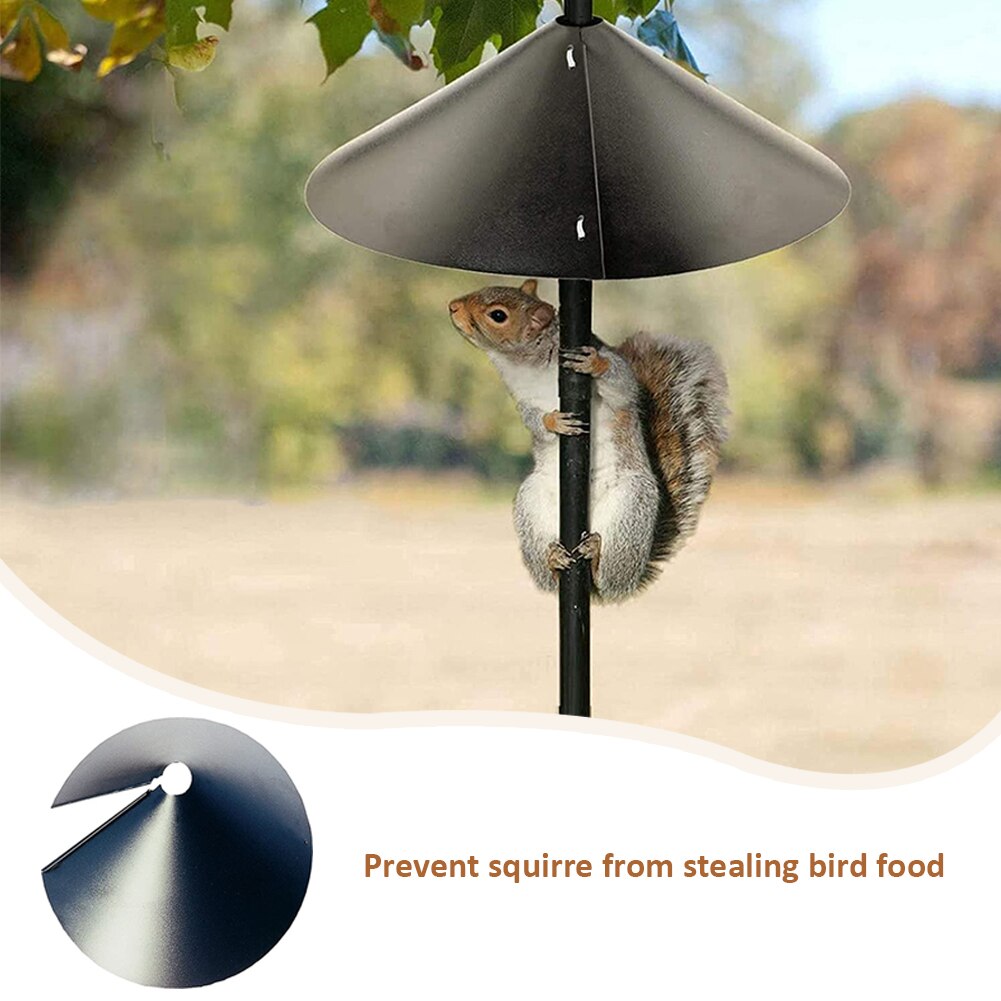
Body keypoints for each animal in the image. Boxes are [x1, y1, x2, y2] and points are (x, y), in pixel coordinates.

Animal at [448, 279, 729, 603]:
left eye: (497, 315)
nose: (452, 307)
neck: (528, 364)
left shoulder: (618, 380)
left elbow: (622, 386)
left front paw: (594, 363)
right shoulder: (523, 400)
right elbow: (533, 419)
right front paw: (554, 422)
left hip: (632, 506)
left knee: (608, 578)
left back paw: (596, 558)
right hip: (531, 503)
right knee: (550, 579)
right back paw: (554, 560)